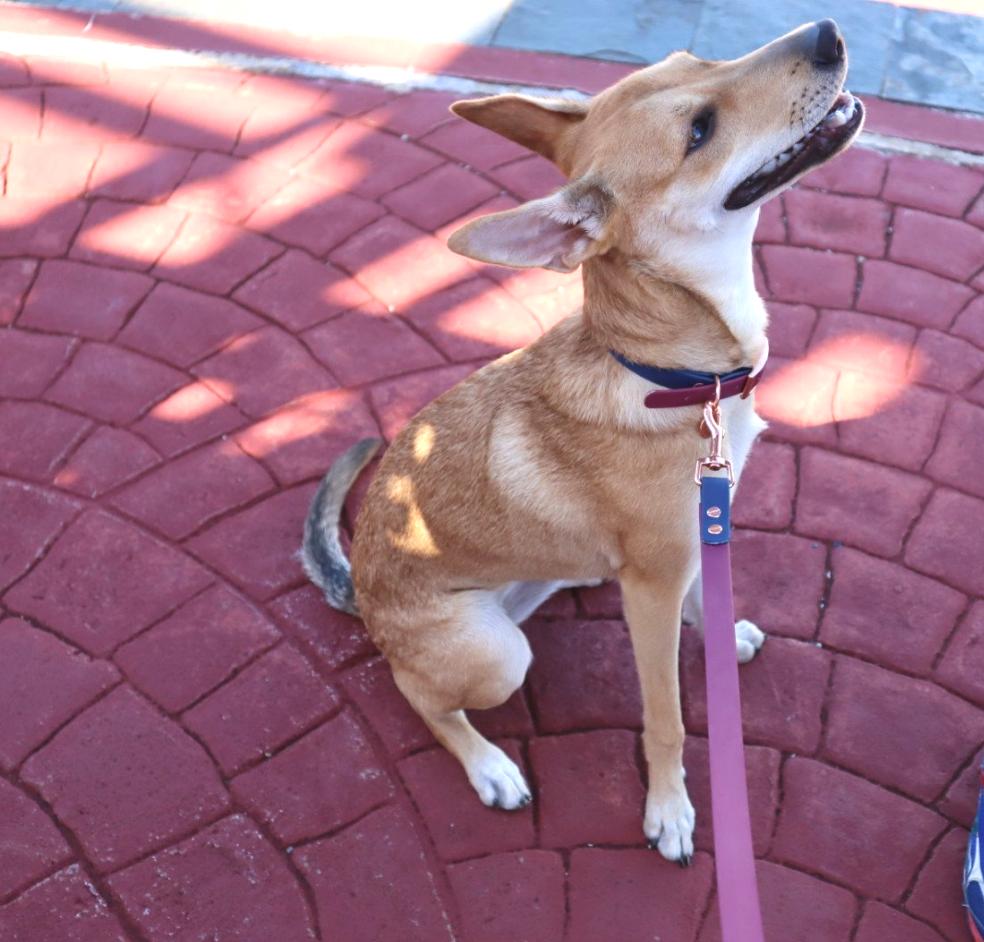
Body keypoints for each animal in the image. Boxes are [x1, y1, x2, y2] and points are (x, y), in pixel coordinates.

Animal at [303, 19, 863, 864]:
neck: (677, 376)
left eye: (700, 56)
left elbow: (705, 600)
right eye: (700, 131)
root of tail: (362, 597)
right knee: (416, 695)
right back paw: (490, 766)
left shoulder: (688, 548)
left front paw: (721, 634)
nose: (828, 32)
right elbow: (666, 720)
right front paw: (669, 811)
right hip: (495, 654)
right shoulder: (653, 587)